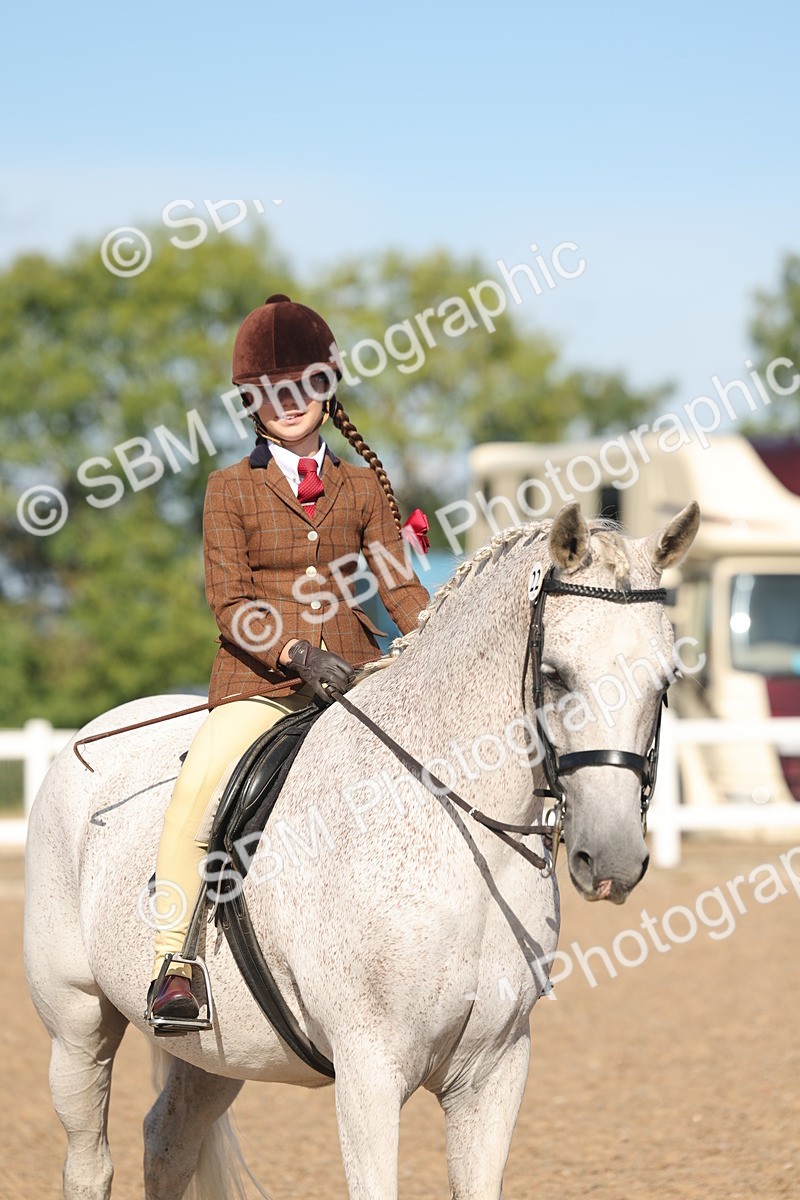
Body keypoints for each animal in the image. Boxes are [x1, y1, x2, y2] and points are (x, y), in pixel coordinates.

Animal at [24, 500, 699, 1200]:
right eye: (554, 675)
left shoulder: (495, 1071)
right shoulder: (369, 1071)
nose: (612, 859)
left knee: (167, 1140)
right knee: (88, 1159)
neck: (462, 845)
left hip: (217, 1053)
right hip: (76, 1023)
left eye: (666, 679)